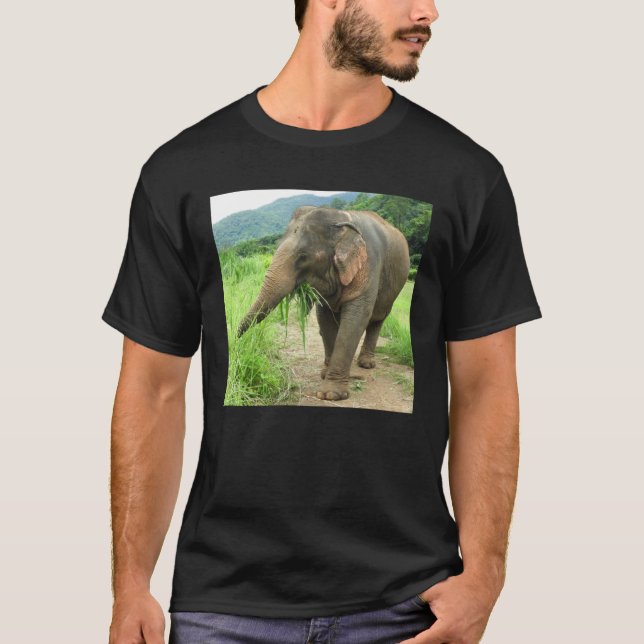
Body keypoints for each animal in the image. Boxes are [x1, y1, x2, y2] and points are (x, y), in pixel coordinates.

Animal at [237, 205, 410, 401]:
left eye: (303, 256)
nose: (235, 344)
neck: (341, 217)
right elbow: (324, 318)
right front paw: (324, 375)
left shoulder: (369, 266)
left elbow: (356, 319)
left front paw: (330, 395)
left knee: (377, 319)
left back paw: (366, 364)